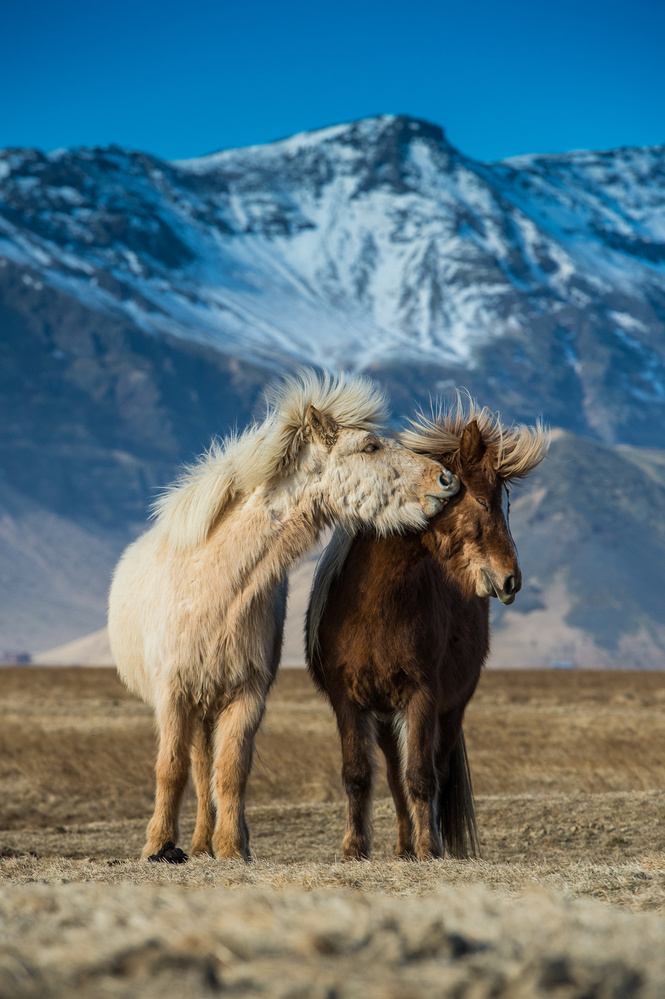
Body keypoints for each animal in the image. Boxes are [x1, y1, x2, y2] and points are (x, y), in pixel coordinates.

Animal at [109, 370, 456, 860]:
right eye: (370, 446)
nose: (446, 479)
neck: (217, 590)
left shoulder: (249, 694)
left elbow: (232, 769)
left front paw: (232, 847)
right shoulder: (173, 694)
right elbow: (171, 768)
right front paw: (158, 846)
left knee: (208, 765)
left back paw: (205, 843)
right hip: (197, 705)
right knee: (193, 766)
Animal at [304, 402, 548, 864]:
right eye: (482, 500)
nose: (511, 580)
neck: (374, 609)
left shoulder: (423, 696)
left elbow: (421, 775)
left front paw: (430, 849)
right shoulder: (348, 701)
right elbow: (359, 776)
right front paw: (354, 850)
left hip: (451, 710)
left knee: (437, 768)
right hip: (385, 717)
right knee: (393, 777)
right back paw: (401, 848)